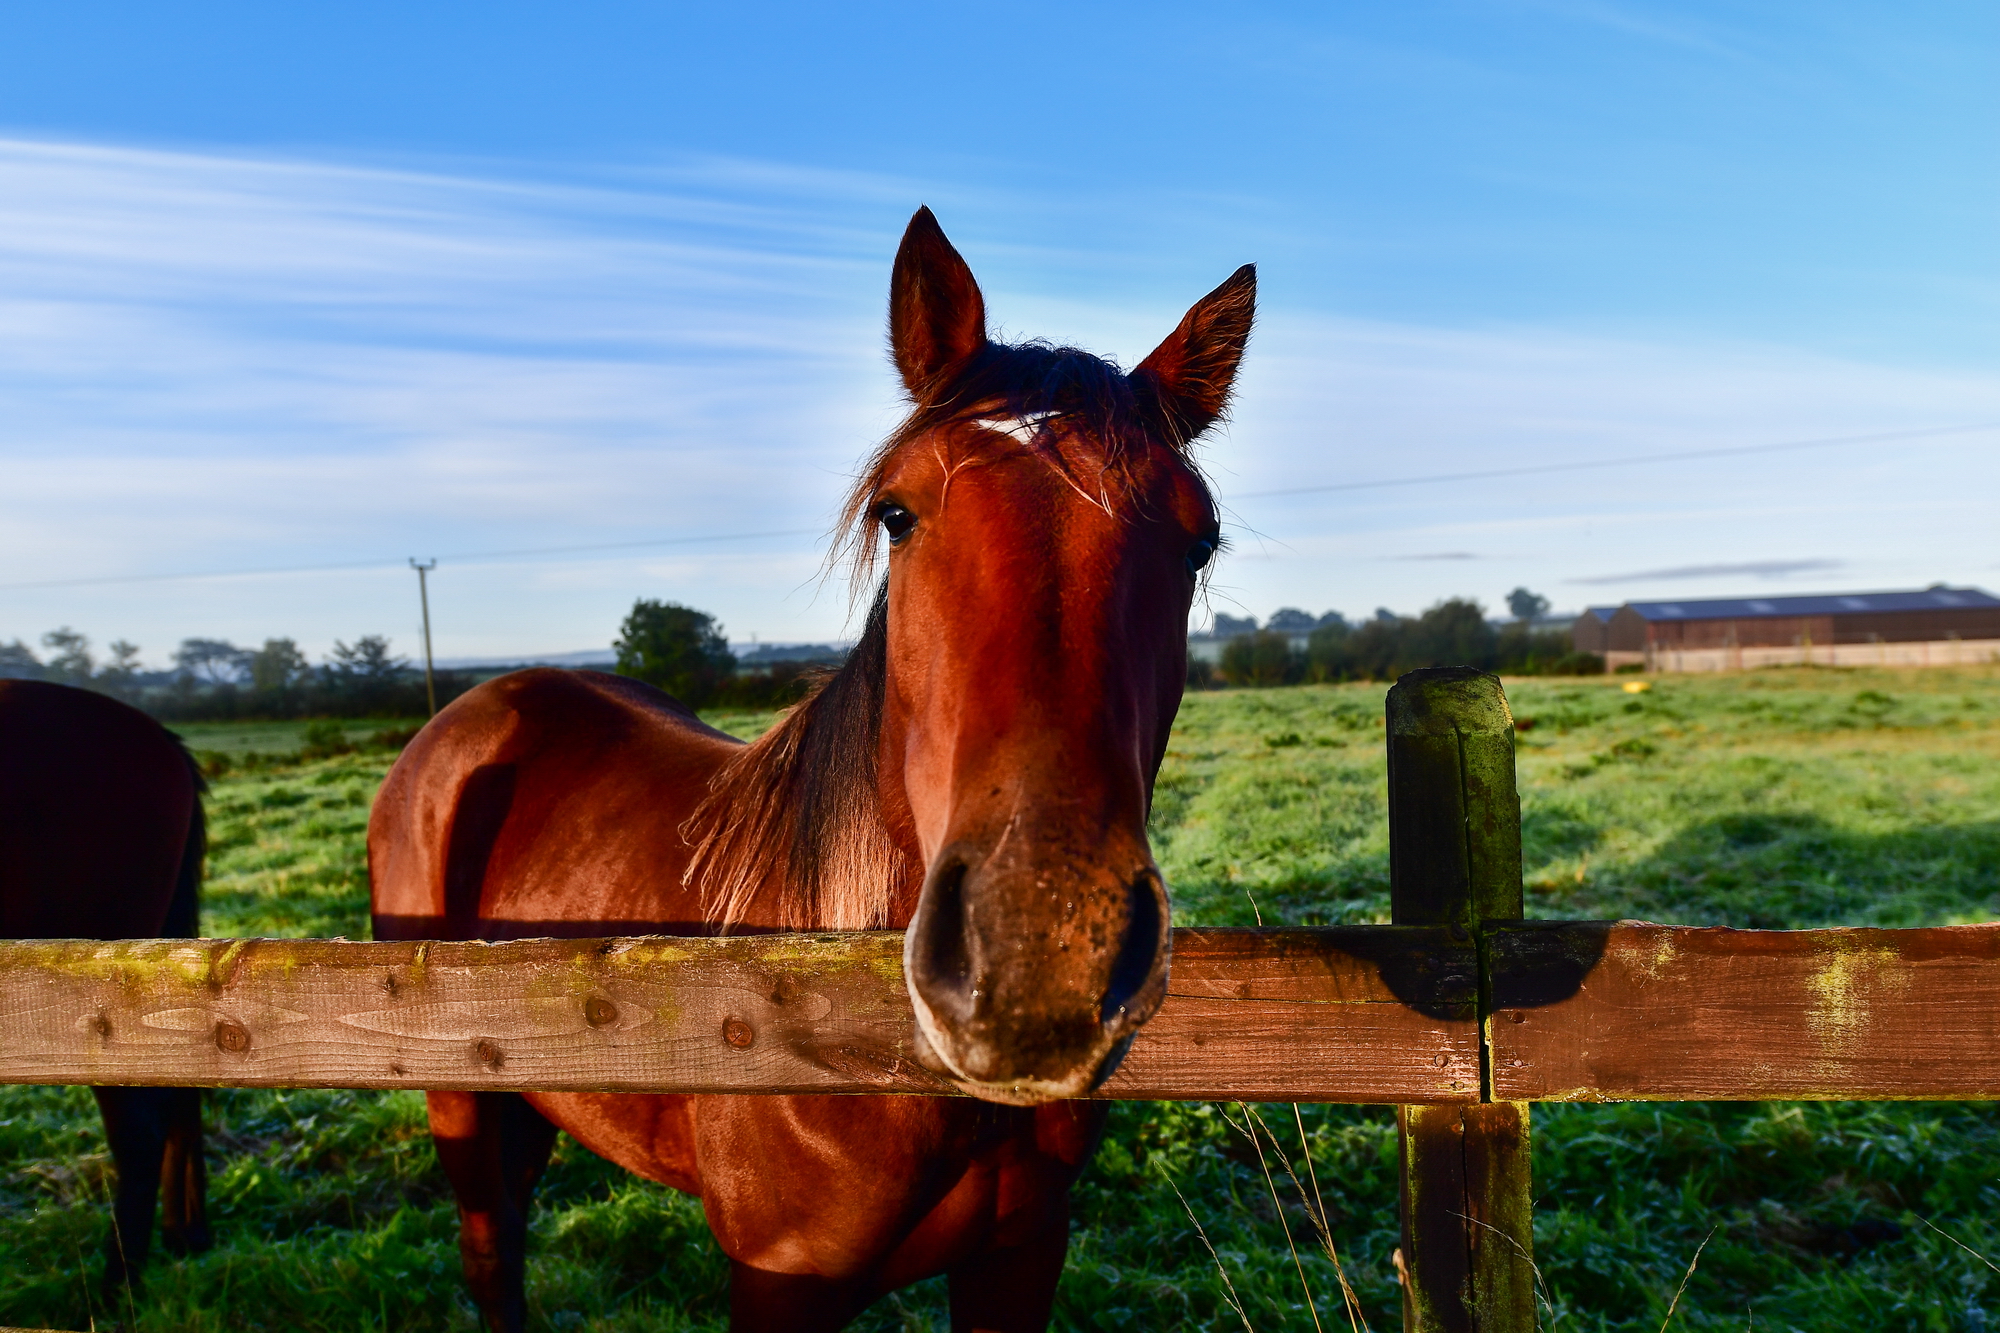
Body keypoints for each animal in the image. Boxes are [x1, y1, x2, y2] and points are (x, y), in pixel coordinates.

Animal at [370, 208, 1256, 1328]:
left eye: (1198, 541)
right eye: (896, 512)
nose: (1038, 963)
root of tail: (475, 711)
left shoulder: (1021, 1253)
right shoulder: (780, 1278)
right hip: (462, 1104)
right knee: (492, 1258)